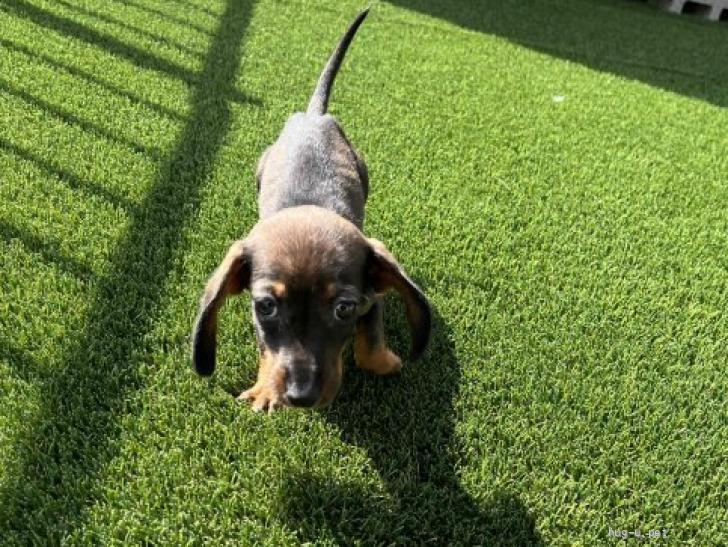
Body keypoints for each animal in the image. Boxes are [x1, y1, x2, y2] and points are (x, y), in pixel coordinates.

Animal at [191, 8, 431, 412]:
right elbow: (267, 349)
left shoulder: (371, 297)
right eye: (265, 306)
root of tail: (313, 116)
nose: (300, 396)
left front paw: (384, 362)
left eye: (344, 308)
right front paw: (264, 388)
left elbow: (368, 348)